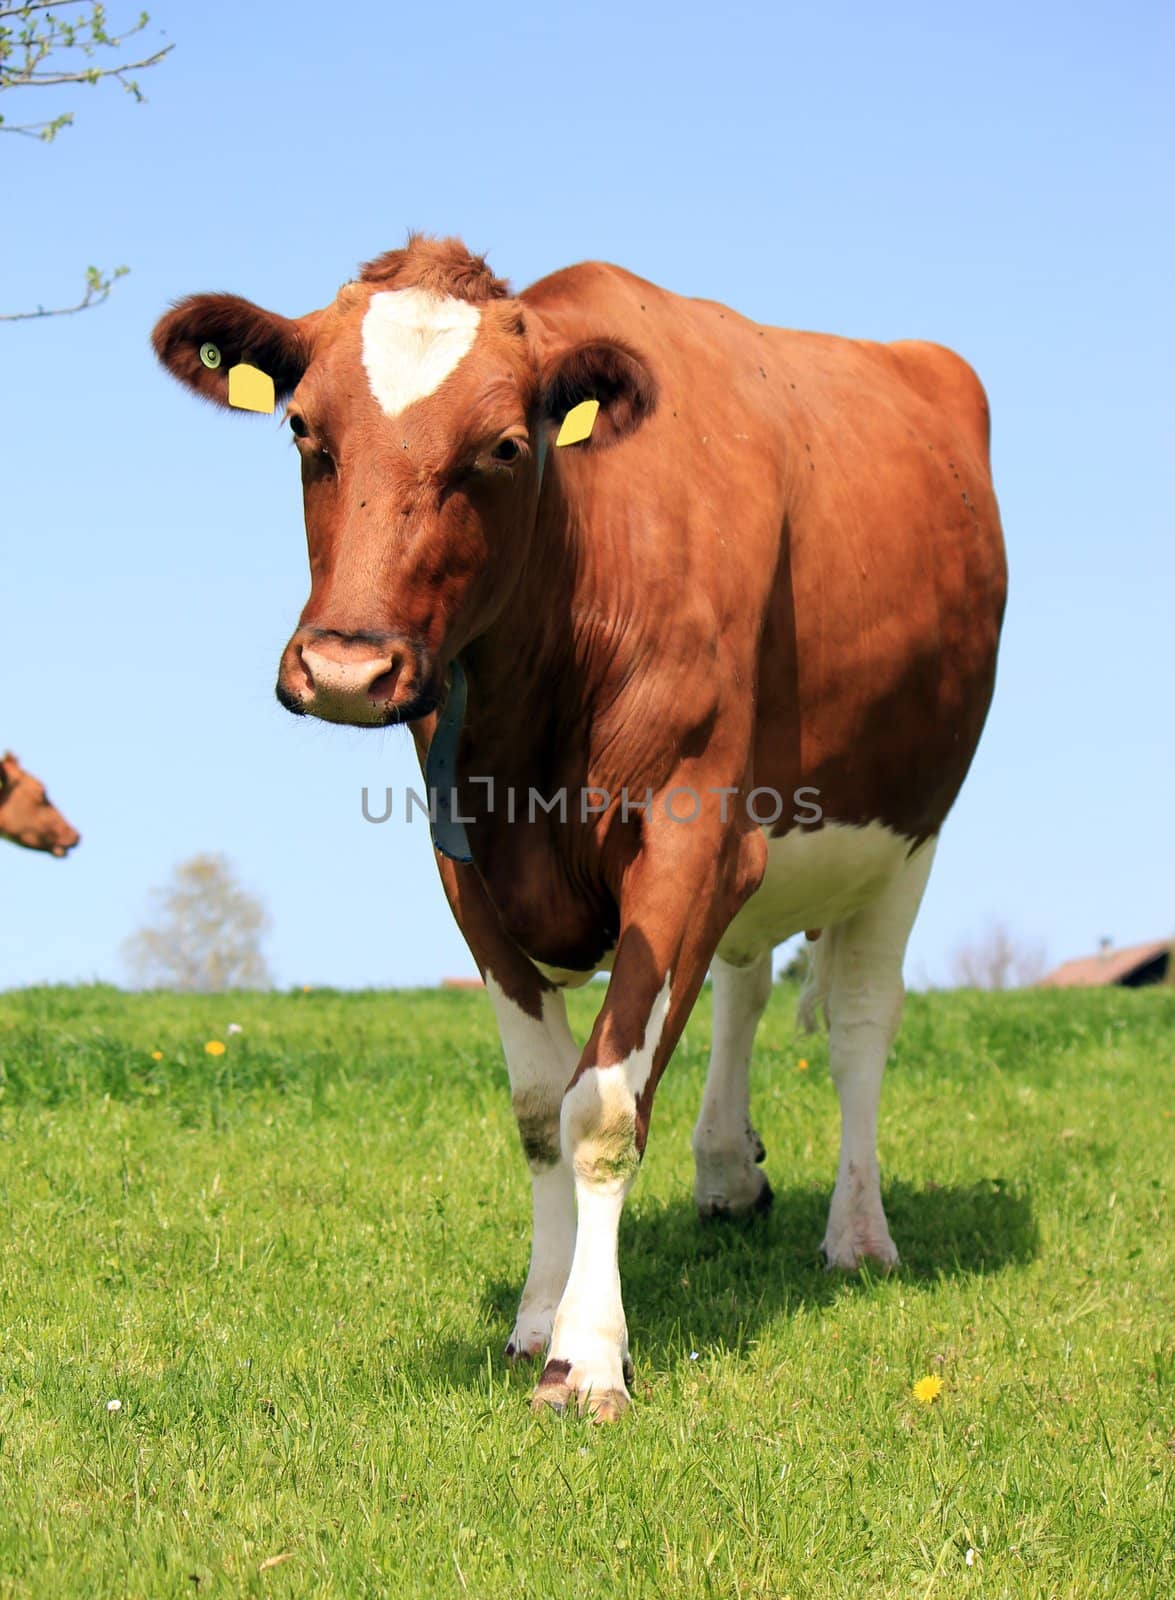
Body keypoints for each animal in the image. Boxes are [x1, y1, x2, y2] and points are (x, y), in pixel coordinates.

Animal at [152, 233, 1005, 1414]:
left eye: (504, 447)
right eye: (303, 431)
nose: (346, 669)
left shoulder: (690, 836)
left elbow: (600, 1105)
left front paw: (587, 1353)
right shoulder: (466, 865)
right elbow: (533, 1104)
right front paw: (533, 1315)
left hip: (908, 833)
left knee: (858, 1025)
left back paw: (858, 1234)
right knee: (743, 987)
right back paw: (725, 1170)